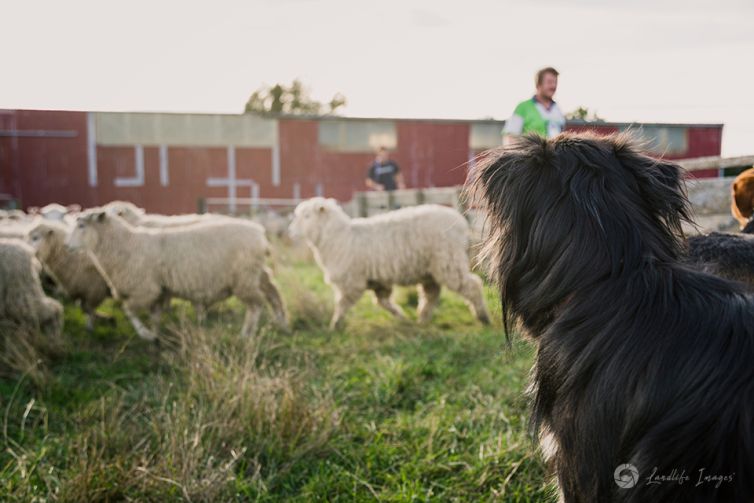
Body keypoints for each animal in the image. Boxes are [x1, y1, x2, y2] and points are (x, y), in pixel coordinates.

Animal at [67, 211, 288, 340]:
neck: (127, 244)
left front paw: (145, 334)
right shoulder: (159, 291)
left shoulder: (145, 289)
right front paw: (155, 335)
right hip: (255, 274)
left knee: (256, 305)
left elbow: (129, 310)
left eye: (81, 225)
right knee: (273, 293)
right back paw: (281, 323)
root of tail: (260, 233)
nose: (67, 245)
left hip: (244, 278)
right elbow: (155, 315)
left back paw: (245, 335)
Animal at [286, 197, 488, 330]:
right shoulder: (378, 281)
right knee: (431, 294)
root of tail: (461, 222)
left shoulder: (352, 281)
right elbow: (383, 301)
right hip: (431, 269)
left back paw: (483, 317)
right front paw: (402, 317)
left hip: (448, 262)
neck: (338, 237)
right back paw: (422, 319)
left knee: (472, 286)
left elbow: (342, 304)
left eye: (306, 216)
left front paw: (334, 324)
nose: (290, 231)